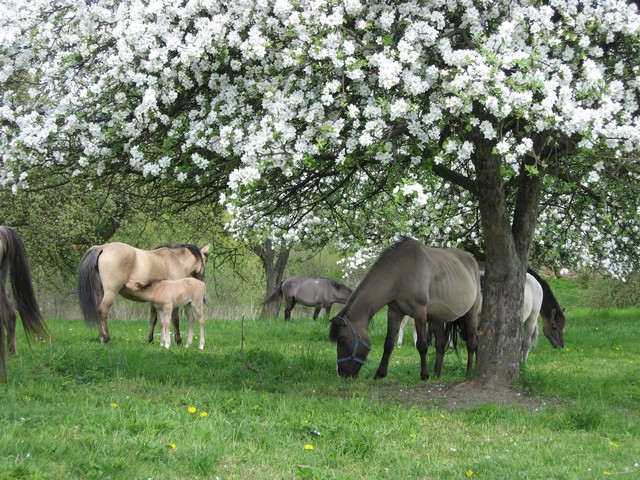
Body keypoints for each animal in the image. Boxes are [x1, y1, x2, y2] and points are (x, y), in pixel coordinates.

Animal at [76, 242, 209, 344]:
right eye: (205, 260)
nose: (202, 279)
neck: (175, 260)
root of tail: (102, 248)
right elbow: (175, 320)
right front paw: (178, 340)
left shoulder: (156, 300)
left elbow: (153, 319)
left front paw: (150, 339)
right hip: (110, 292)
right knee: (102, 311)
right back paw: (106, 338)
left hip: (100, 292)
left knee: (97, 311)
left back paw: (100, 336)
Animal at [330, 235, 480, 378]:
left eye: (341, 339)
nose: (341, 373)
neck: (400, 273)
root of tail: (473, 261)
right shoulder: (394, 312)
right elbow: (388, 344)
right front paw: (379, 374)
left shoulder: (419, 312)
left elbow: (422, 346)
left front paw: (424, 375)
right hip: (438, 317)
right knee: (441, 343)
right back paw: (437, 374)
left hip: (471, 314)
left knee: (472, 342)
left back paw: (469, 372)